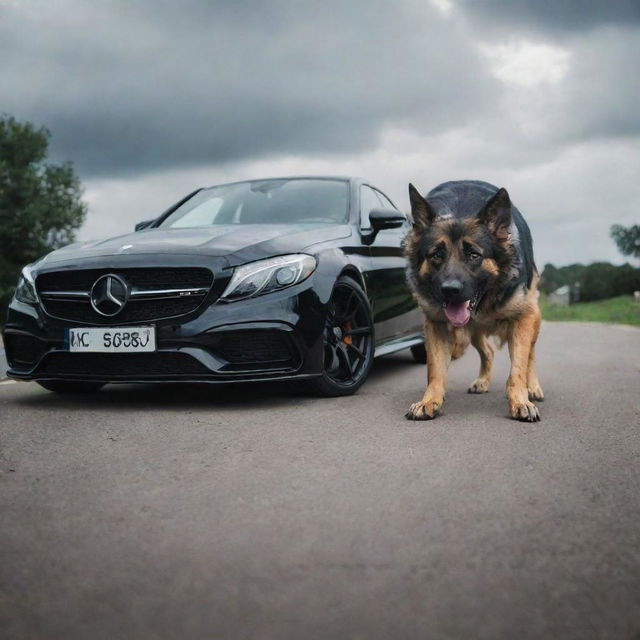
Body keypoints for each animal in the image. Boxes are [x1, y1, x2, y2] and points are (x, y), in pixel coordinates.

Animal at [402, 180, 544, 420]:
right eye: (436, 255)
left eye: (474, 255)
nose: (450, 290)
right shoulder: (436, 324)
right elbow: (435, 369)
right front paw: (429, 400)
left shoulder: (522, 318)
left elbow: (518, 367)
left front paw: (520, 401)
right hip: (475, 330)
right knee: (487, 351)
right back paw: (482, 381)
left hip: (533, 317)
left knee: (531, 356)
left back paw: (533, 387)